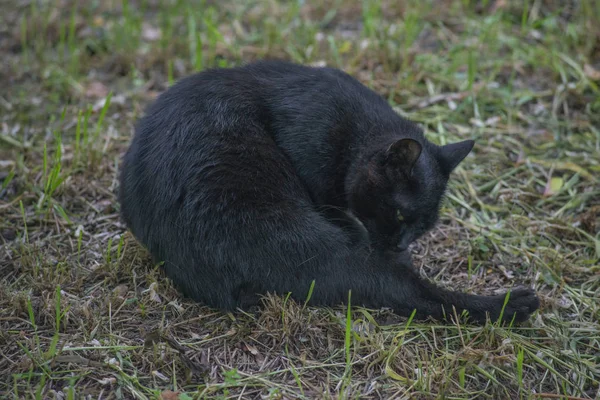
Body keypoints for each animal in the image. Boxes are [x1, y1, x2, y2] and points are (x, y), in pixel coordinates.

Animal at [118, 61, 540, 324]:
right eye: (400, 214)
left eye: (423, 227)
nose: (402, 244)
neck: (355, 135)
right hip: (286, 226)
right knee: (400, 285)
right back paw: (516, 305)